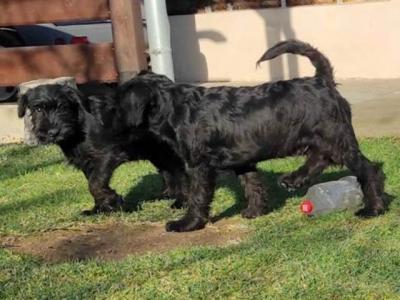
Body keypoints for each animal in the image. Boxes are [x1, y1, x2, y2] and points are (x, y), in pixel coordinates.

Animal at [18, 74, 266, 216]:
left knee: (182, 174)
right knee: (171, 172)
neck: (79, 126)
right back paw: (169, 194)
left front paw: (113, 201)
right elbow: (93, 184)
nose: (52, 132)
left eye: (62, 107)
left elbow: (96, 184)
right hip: (158, 153)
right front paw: (100, 209)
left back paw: (180, 201)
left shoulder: (106, 156)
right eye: (37, 108)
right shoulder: (86, 164)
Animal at [119, 39, 388, 232]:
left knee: (367, 169)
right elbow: (252, 185)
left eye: (120, 99)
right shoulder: (242, 160)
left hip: (337, 138)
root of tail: (322, 80)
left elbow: (198, 196)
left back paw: (373, 208)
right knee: (319, 158)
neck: (175, 105)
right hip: (324, 138)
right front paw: (255, 211)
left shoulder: (199, 166)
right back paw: (294, 179)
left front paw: (187, 224)